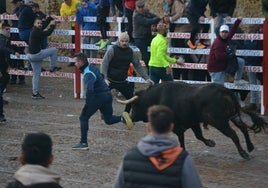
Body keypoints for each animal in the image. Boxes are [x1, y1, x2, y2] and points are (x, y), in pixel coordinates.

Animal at [117, 81, 268, 159]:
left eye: (135, 105)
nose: (130, 118)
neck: (157, 97)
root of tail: (224, 90)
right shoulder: (193, 123)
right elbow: (199, 135)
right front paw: (210, 142)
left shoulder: (177, 126)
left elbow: (183, 139)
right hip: (233, 116)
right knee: (243, 128)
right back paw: (250, 147)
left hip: (219, 121)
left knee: (233, 134)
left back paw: (243, 153)